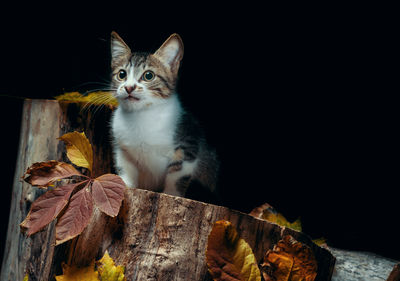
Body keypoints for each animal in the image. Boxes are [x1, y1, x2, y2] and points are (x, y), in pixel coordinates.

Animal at [109, 31, 219, 198]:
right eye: (122, 74)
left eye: (148, 76)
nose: (129, 87)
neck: (142, 115)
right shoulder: (122, 147)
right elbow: (125, 166)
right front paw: (125, 183)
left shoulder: (188, 141)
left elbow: (177, 172)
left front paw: (171, 193)